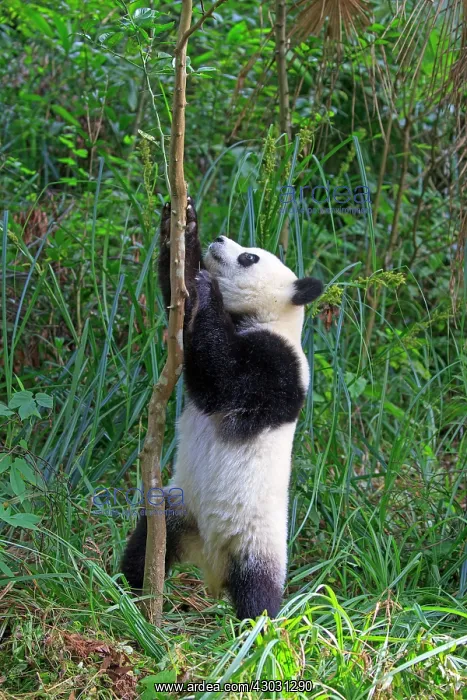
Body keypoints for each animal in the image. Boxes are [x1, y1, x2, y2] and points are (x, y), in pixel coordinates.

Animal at [121, 196, 323, 619]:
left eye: (249, 257)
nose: (220, 239)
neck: (267, 317)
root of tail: (211, 562)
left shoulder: (280, 367)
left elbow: (225, 379)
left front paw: (207, 284)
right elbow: (177, 305)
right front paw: (183, 223)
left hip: (258, 541)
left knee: (259, 589)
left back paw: (257, 625)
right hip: (179, 510)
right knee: (147, 540)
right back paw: (132, 586)